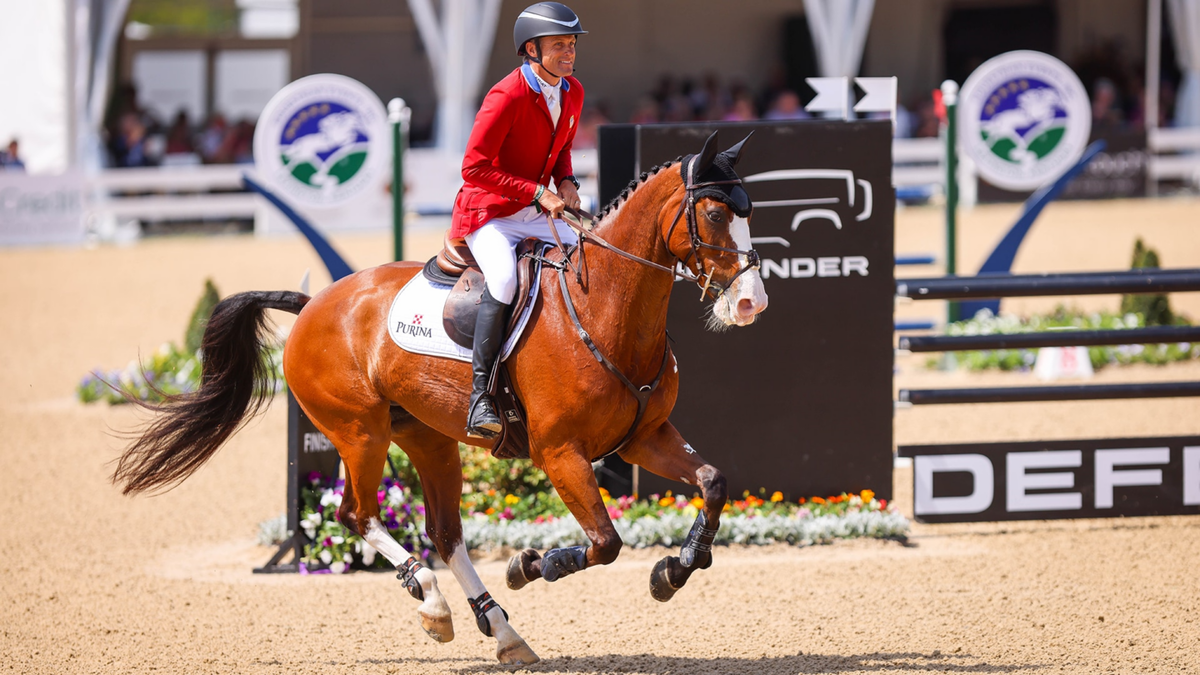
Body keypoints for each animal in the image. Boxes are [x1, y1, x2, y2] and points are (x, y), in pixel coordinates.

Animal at [112, 130, 768, 662]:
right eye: (714, 215)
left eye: (748, 212)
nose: (749, 303)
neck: (605, 307)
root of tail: (315, 304)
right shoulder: (562, 454)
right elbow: (604, 543)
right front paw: (533, 564)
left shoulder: (642, 438)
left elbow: (712, 483)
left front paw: (674, 569)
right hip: (360, 432)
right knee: (357, 515)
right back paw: (432, 603)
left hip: (428, 439)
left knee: (445, 533)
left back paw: (502, 631)